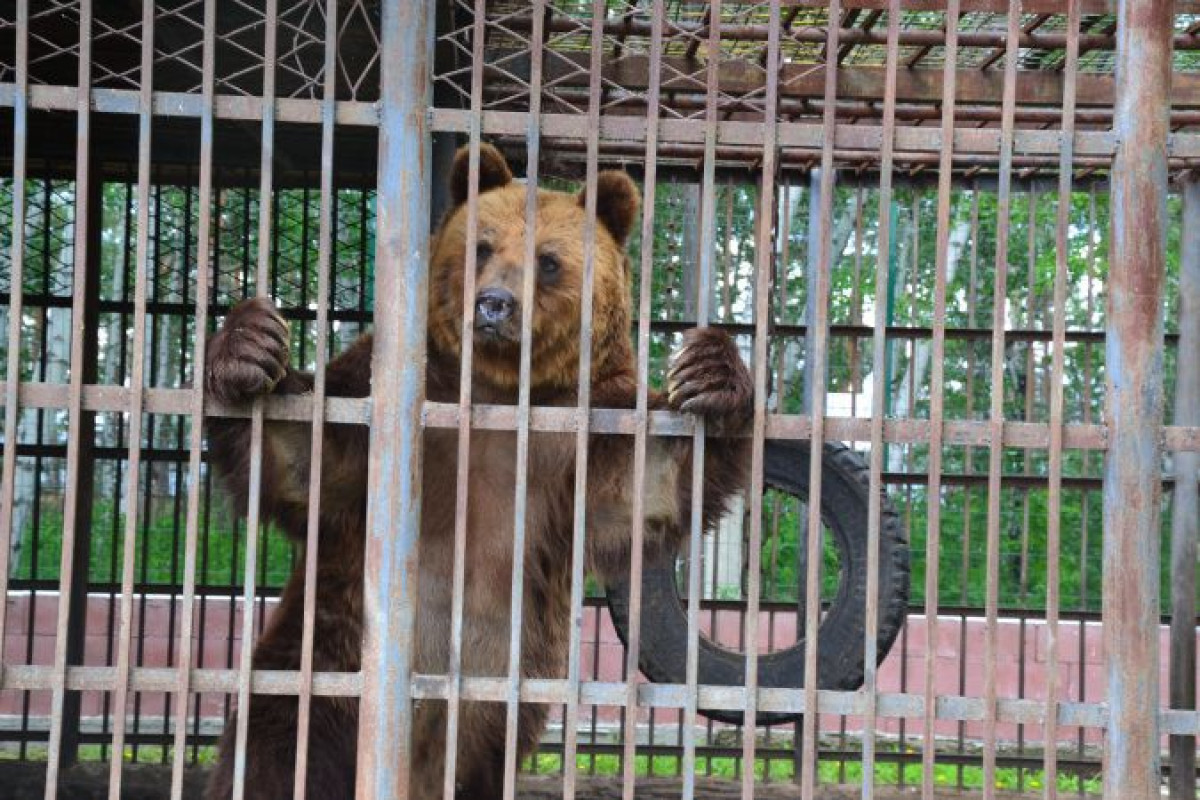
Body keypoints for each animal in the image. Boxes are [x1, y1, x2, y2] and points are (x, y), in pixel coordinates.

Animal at [204, 145, 748, 800]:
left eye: (548, 261)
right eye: (483, 247)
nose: (494, 304)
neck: (498, 386)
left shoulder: (583, 435)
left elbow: (650, 482)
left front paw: (710, 374)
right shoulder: (390, 399)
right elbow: (308, 458)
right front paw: (251, 346)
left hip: (492, 721)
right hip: (322, 670)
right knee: (277, 752)